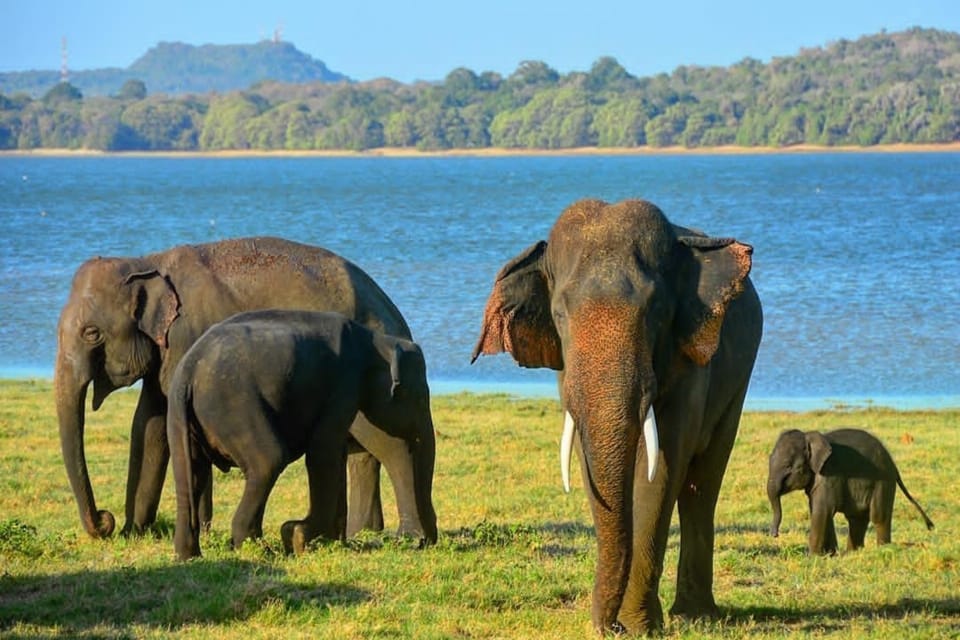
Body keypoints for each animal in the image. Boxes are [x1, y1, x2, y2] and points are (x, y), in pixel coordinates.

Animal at [168, 310, 438, 560]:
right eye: (421, 398)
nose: (421, 543)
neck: (377, 339)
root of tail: (189, 370)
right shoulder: (344, 382)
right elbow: (325, 450)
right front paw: (299, 537)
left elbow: (353, 449)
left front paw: (328, 541)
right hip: (234, 405)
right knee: (268, 461)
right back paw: (258, 550)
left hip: (182, 419)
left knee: (190, 476)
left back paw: (189, 556)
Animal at [468, 196, 760, 636]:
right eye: (560, 314)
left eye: (656, 310)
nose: (610, 628)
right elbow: (588, 461)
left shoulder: (689, 361)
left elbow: (661, 472)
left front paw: (642, 627)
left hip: (738, 382)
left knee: (703, 483)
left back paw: (695, 615)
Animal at [764, 430, 928, 556]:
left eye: (789, 466)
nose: (774, 535)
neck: (809, 436)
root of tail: (893, 465)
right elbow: (822, 512)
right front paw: (831, 555)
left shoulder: (830, 474)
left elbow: (822, 510)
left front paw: (812, 557)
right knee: (857, 519)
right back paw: (853, 553)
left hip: (883, 482)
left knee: (878, 516)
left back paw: (883, 549)